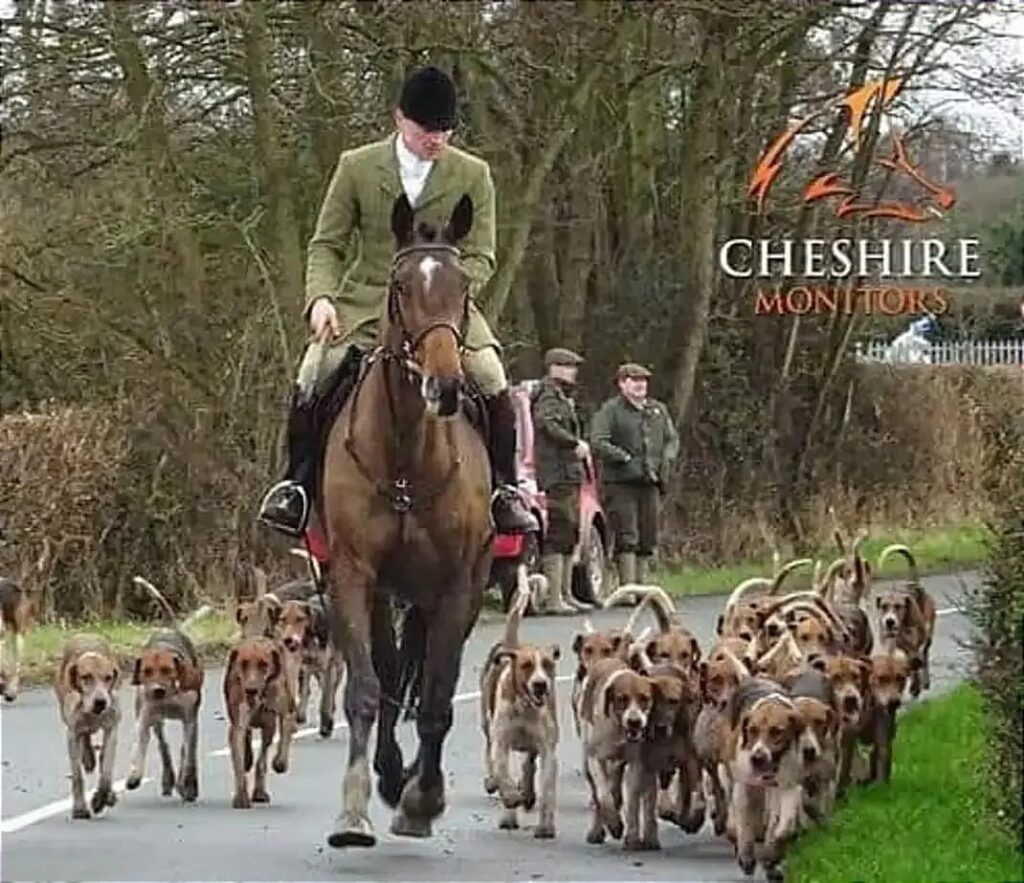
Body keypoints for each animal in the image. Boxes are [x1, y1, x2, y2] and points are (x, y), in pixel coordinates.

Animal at [319, 193, 495, 852]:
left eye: (463, 284)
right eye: (400, 285)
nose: (444, 386)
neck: (403, 457)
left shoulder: (456, 586)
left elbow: (440, 698)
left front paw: (424, 799)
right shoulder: (353, 575)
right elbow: (369, 688)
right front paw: (354, 810)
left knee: (423, 682)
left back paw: (412, 781)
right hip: (387, 592)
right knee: (394, 675)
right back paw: (391, 773)